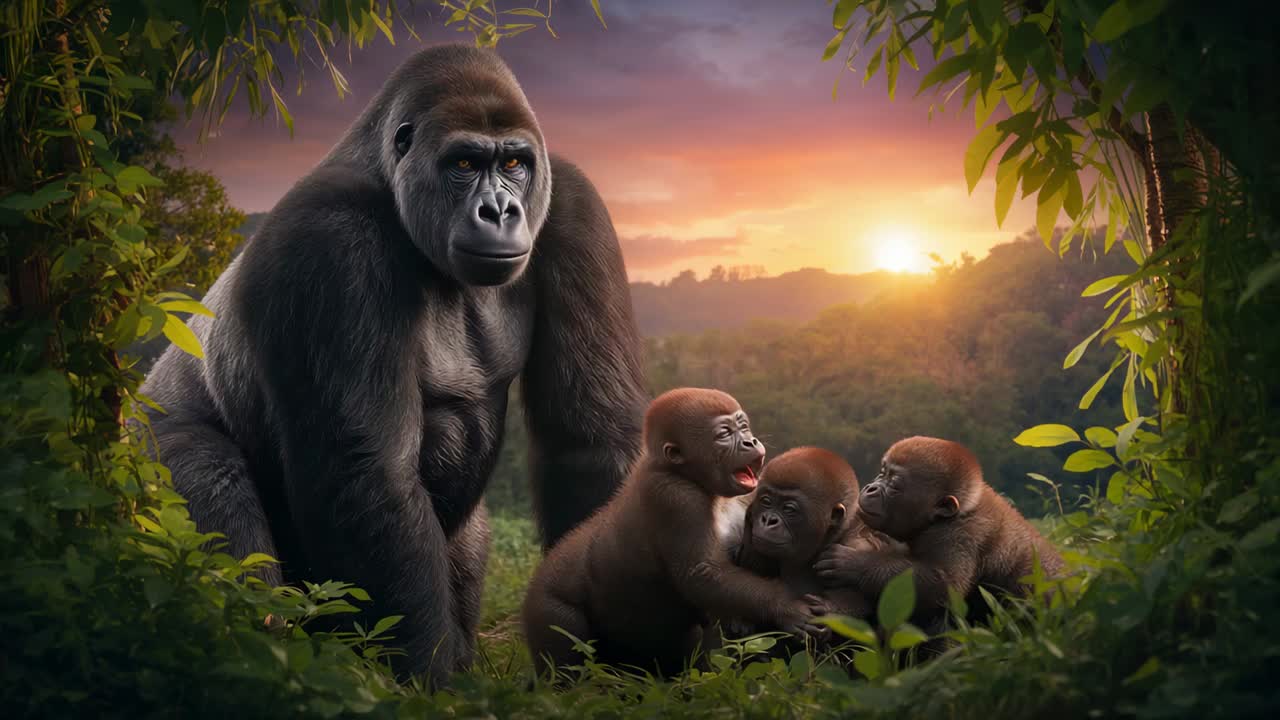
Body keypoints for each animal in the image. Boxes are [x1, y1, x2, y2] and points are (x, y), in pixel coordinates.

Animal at [138, 45, 648, 683]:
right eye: (463, 163)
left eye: (515, 164)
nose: (499, 210)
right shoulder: (330, 239)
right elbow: (369, 474)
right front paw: (431, 683)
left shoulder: (576, 207)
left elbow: (589, 440)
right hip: (150, 446)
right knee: (212, 495)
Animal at [520, 388, 830, 679]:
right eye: (724, 434)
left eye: (743, 427)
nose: (750, 442)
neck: (679, 470)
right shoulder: (675, 497)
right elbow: (702, 574)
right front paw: (784, 606)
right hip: (546, 606)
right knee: (565, 656)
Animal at [814, 436, 1064, 629]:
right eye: (882, 473)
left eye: (894, 485)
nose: (871, 488)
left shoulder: (959, 535)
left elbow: (943, 587)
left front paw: (852, 563)